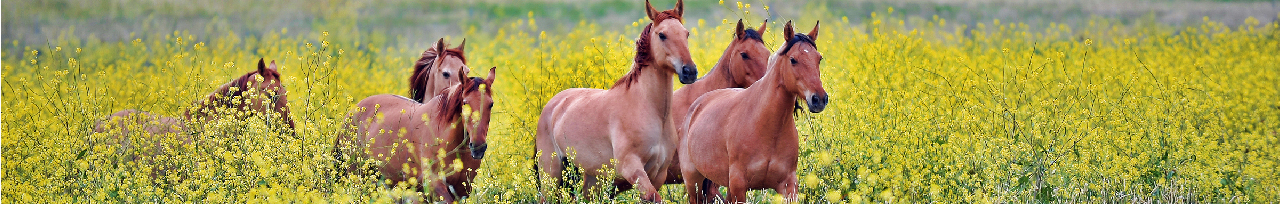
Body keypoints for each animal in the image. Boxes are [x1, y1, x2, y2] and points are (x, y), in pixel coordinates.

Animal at [337, 68, 496, 202]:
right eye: (465, 103)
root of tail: (353, 111)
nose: (478, 147)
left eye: (491, 104)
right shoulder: (435, 184)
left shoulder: (462, 190)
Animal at [532, 0, 701, 201]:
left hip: (589, 180)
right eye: (662, 35)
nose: (689, 71)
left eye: (686, 33)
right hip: (551, 175)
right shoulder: (631, 168)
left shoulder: (657, 175)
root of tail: (553, 105)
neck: (649, 109)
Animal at [680, 20, 829, 202]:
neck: (766, 126)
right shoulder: (739, 186)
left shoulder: (788, 185)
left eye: (819, 58)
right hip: (693, 183)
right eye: (793, 59)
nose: (819, 99)